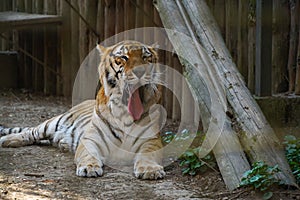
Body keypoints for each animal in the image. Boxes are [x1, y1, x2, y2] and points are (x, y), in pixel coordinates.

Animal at [0, 40, 165, 180]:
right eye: (123, 57)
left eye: (146, 57)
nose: (140, 71)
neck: (125, 114)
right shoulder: (91, 139)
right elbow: (88, 154)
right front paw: (89, 167)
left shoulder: (151, 140)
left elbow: (147, 156)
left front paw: (150, 170)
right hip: (52, 123)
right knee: (31, 132)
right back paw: (9, 140)